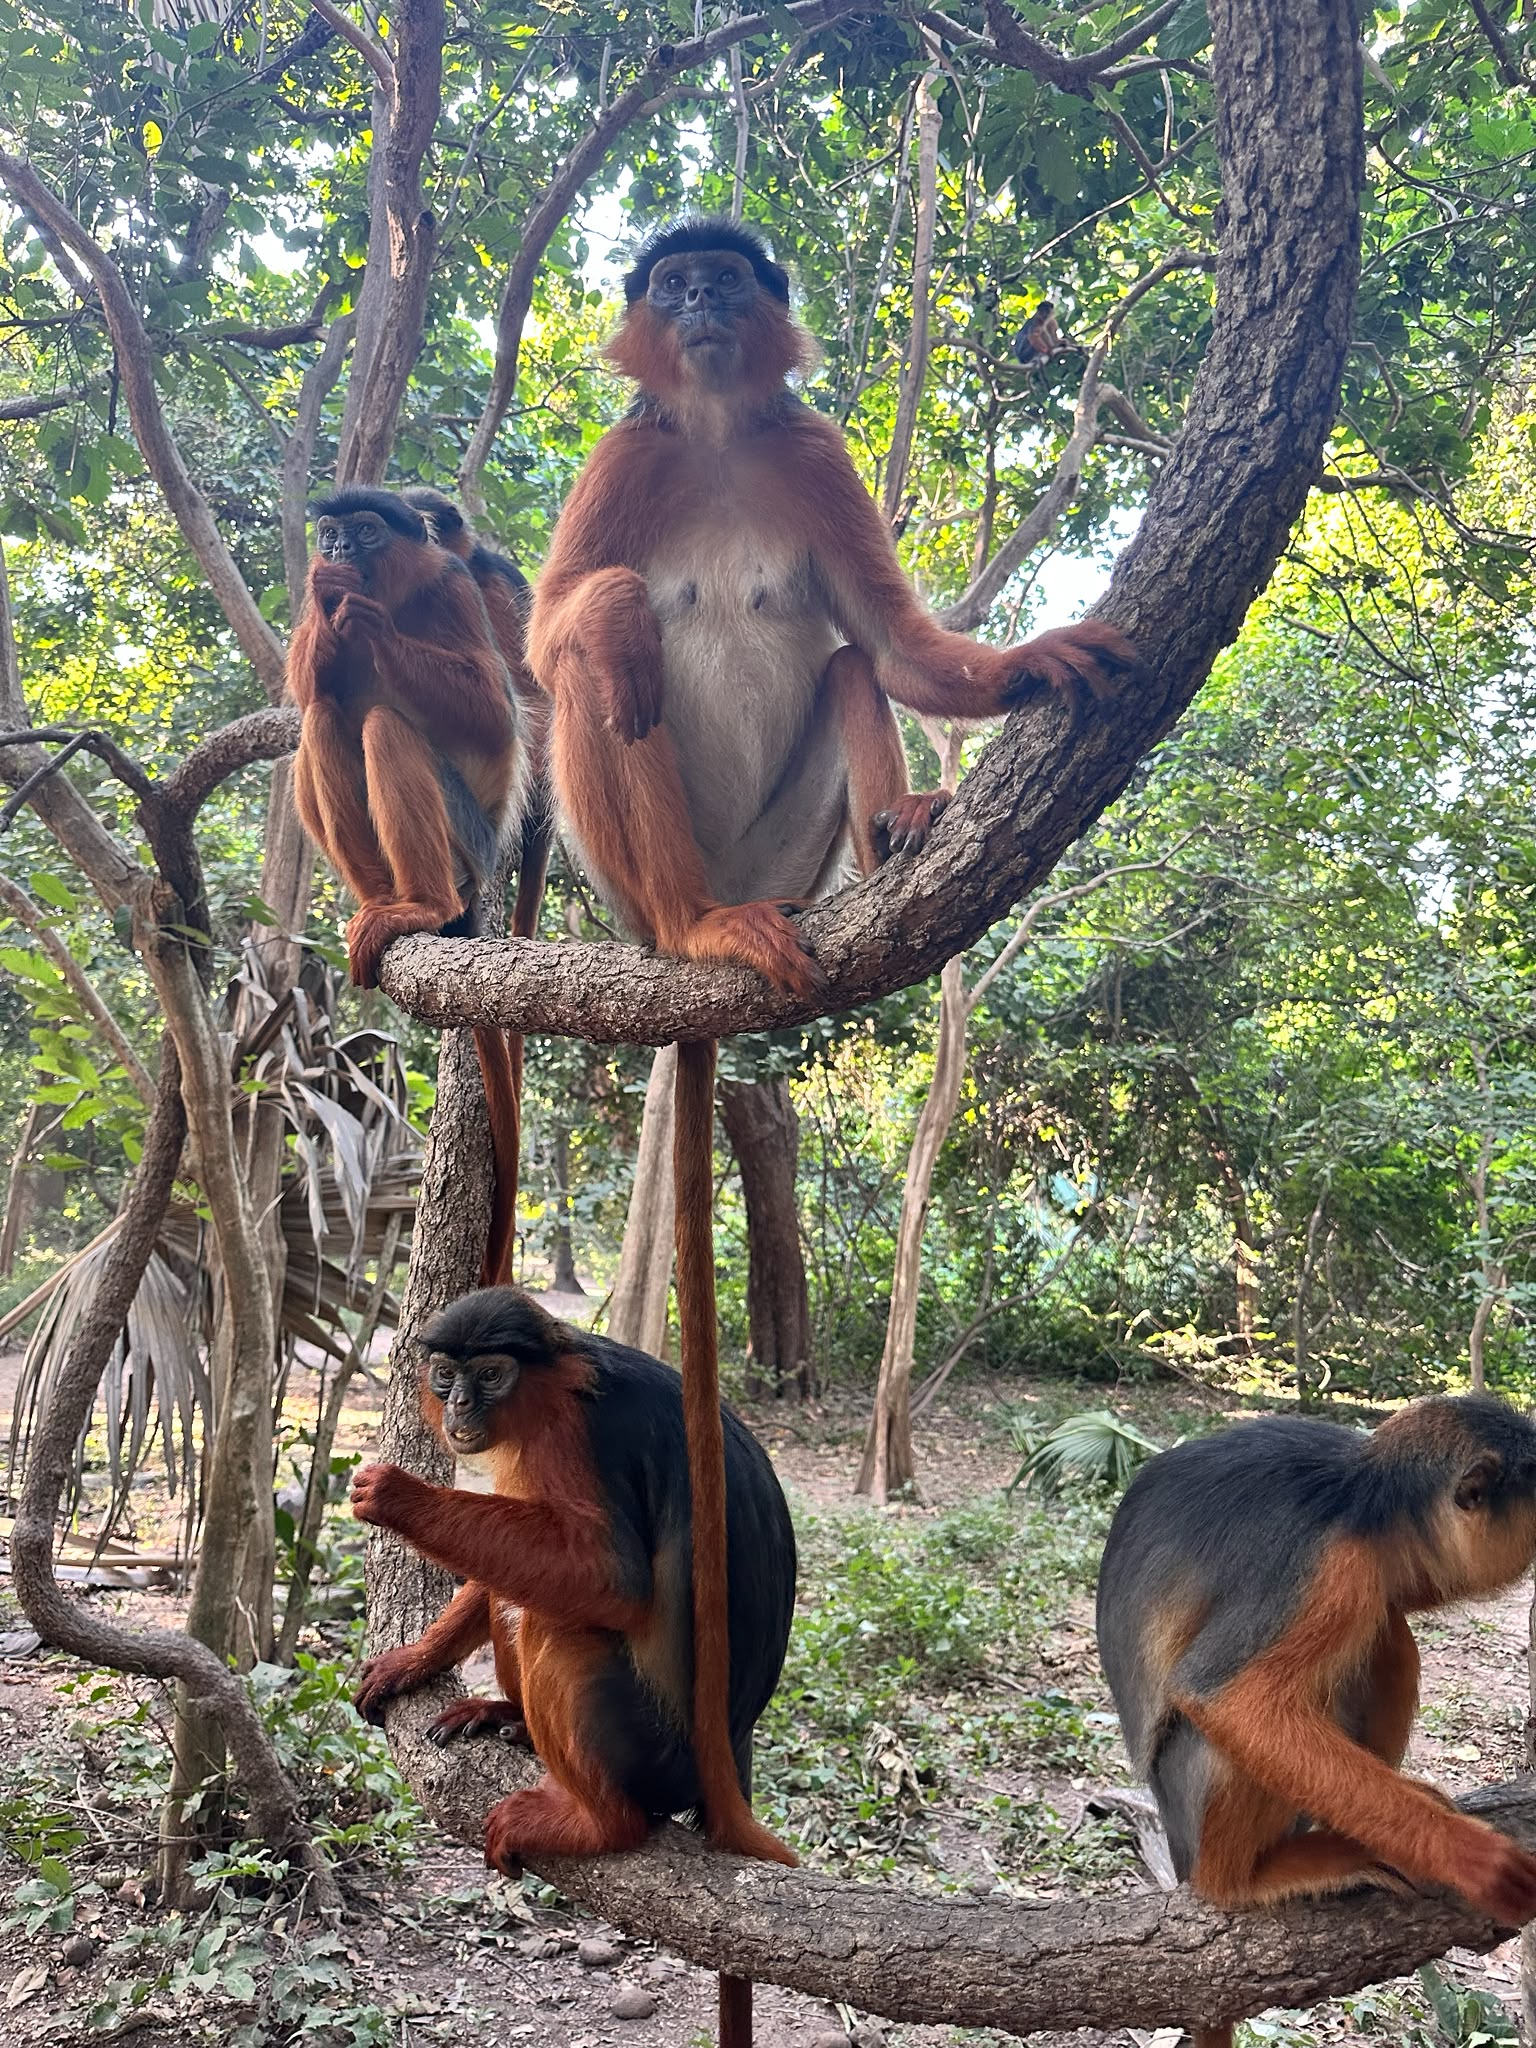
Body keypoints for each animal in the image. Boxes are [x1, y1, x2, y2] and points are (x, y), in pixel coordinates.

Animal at [286, 486, 528, 1285]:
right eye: (330, 533)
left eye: (366, 532)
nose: (338, 551)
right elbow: (308, 685)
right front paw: (329, 599)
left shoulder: (454, 587)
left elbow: (493, 708)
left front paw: (372, 622)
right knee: (324, 719)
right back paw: (377, 904)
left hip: (467, 842)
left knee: (386, 724)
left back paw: (423, 905)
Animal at [349, 1286, 797, 1876]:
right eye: (446, 1375)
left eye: (490, 1375)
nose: (459, 1404)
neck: (560, 1377)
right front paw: (413, 1661)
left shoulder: (571, 1431)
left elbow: (611, 1578)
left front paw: (400, 1498)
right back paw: (508, 1717)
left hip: (649, 1753)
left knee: (555, 1626)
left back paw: (601, 1824)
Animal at [1095, 1394, 1536, 2048]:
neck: (1362, 1499)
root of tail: (1179, 1848)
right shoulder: (1332, 1568)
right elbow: (1225, 1697)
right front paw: (1469, 1859)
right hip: (1192, 1807)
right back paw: (1241, 1882)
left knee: (1387, 1632)